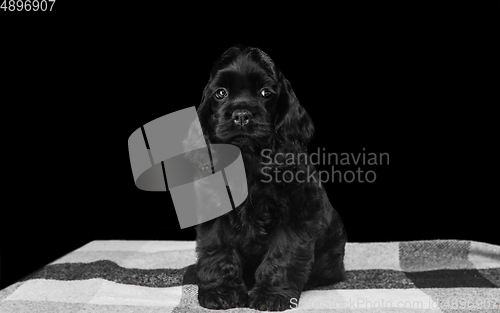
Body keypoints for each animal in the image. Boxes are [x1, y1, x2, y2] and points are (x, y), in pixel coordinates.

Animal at [189, 45, 346, 310]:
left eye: (265, 93)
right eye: (220, 93)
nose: (242, 114)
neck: (247, 159)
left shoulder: (297, 213)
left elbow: (284, 255)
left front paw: (272, 294)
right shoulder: (215, 212)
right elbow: (217, 250)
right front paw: (220, 291)